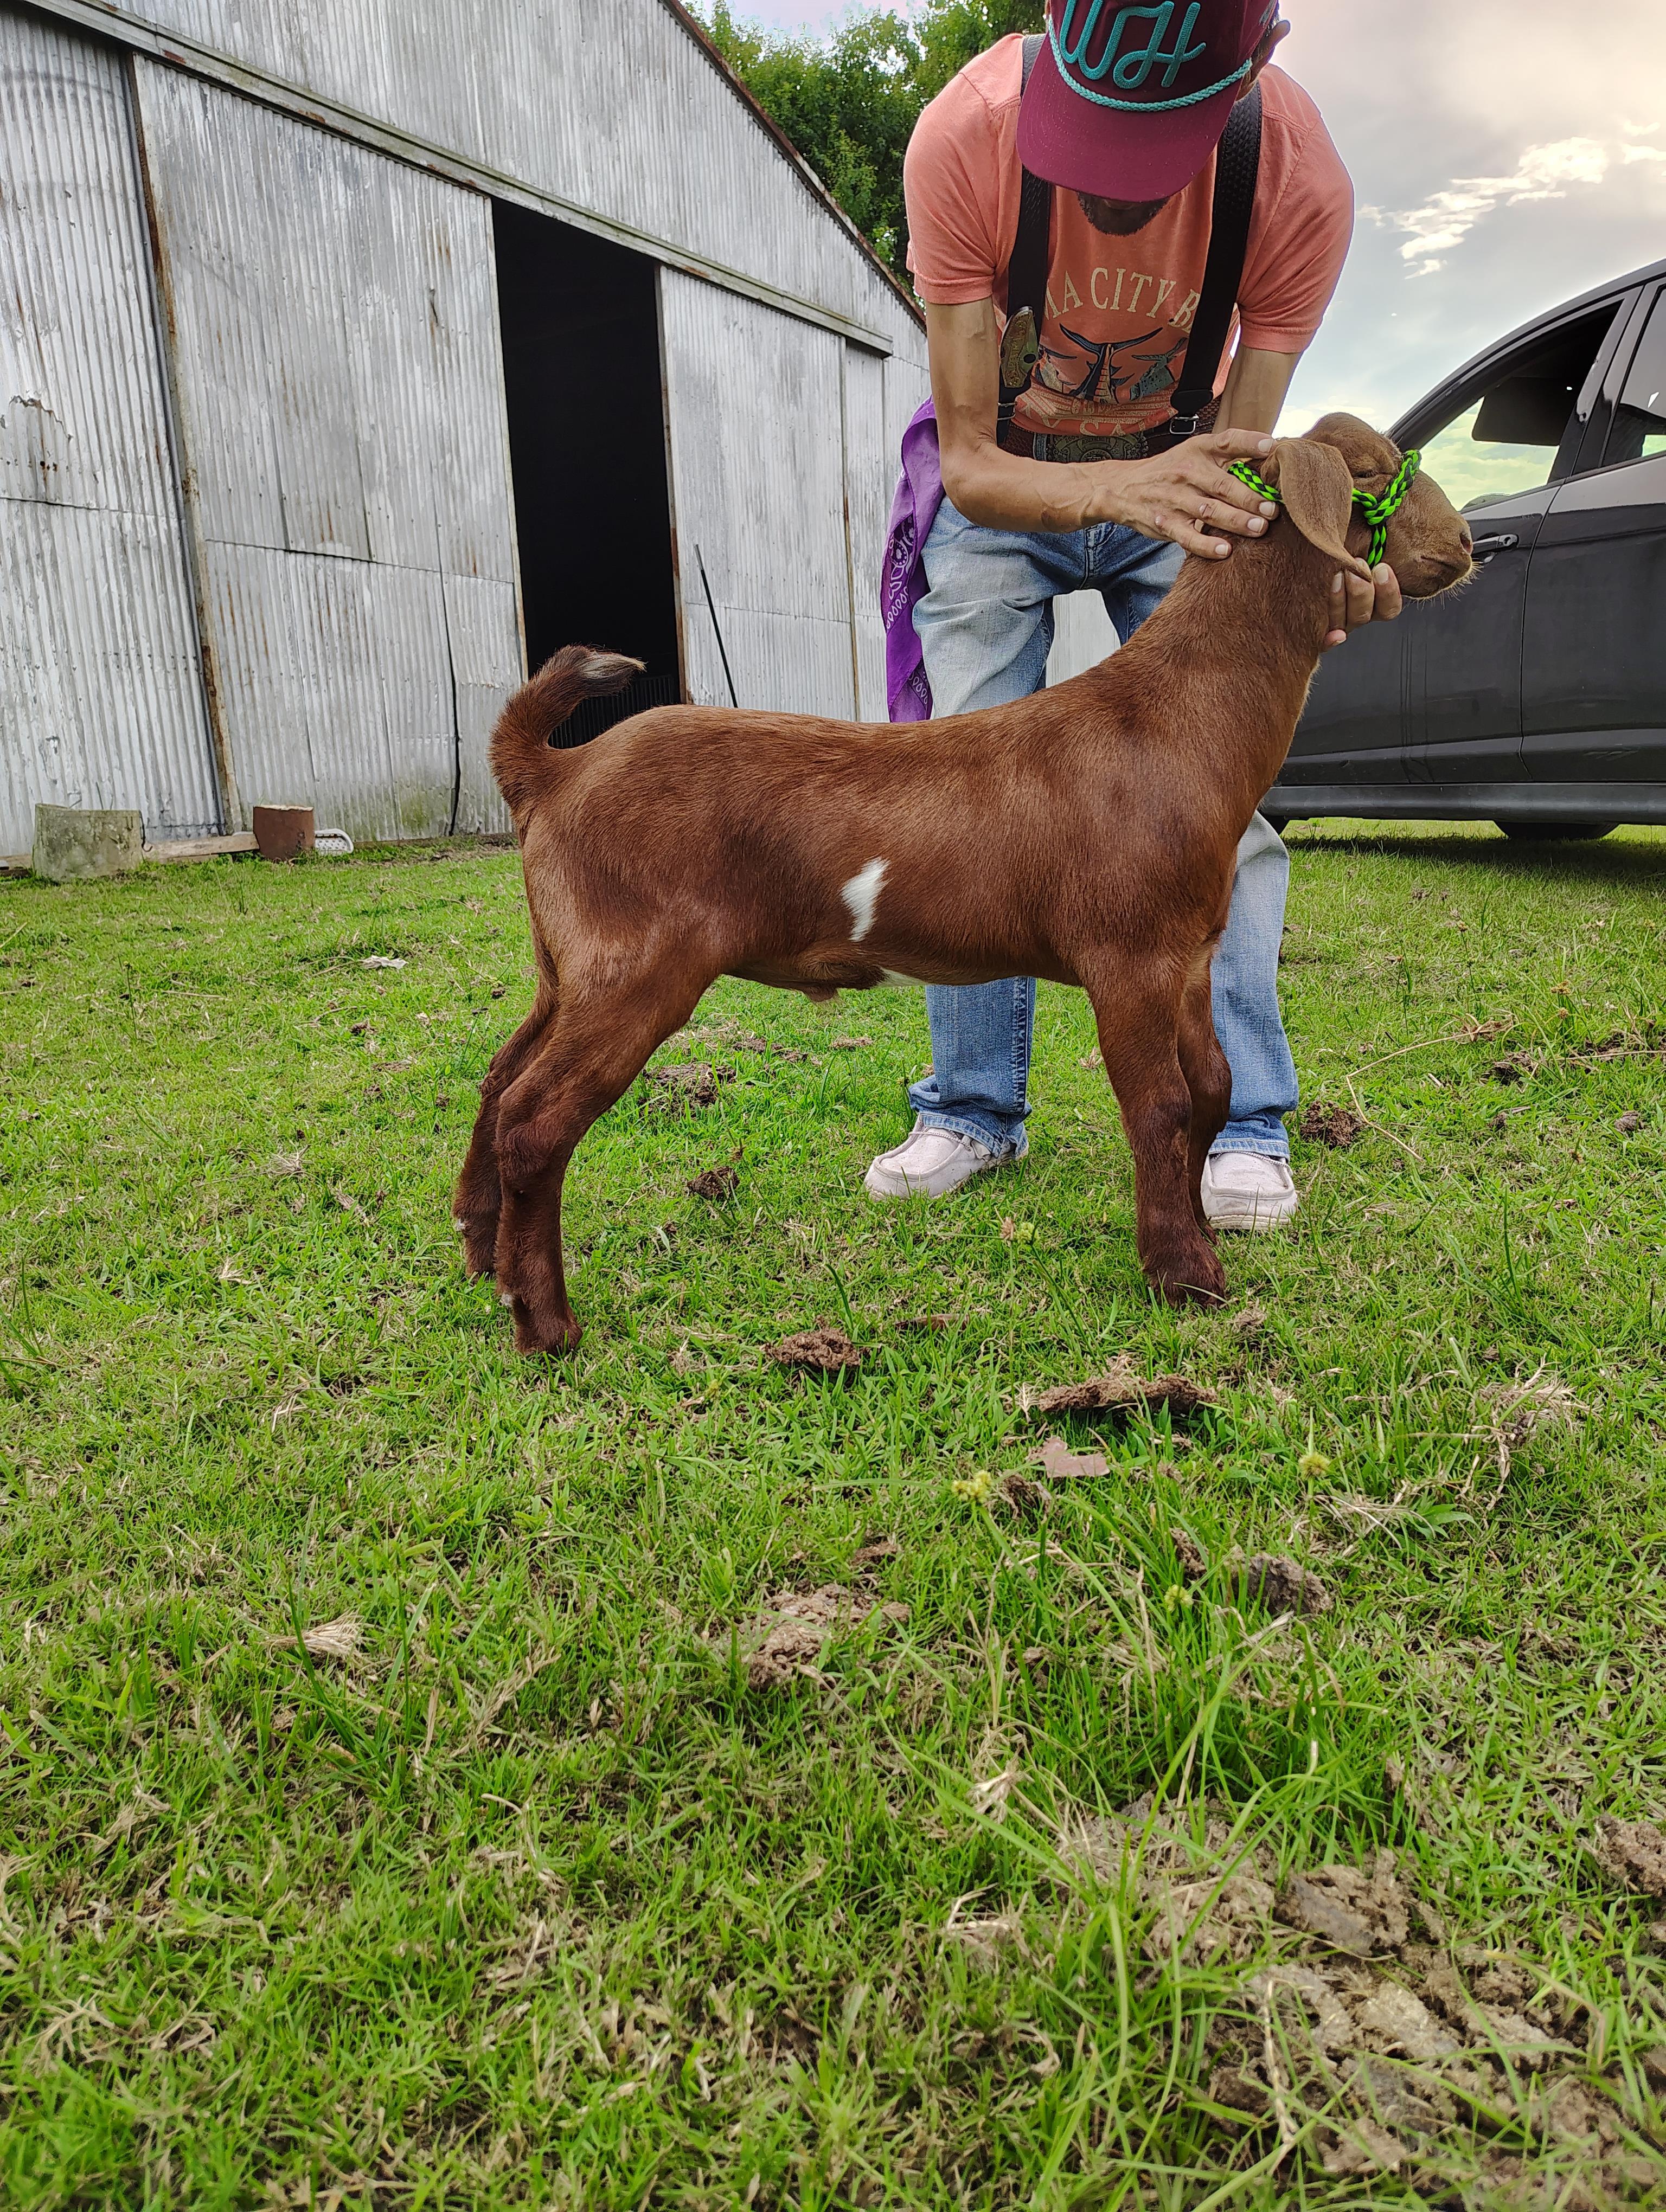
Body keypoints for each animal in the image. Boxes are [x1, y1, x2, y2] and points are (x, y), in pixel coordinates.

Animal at [457, 414, 1472, 1353]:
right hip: (635, 959)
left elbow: (1214, 1088)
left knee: (501, 1077)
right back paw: (545, 1323)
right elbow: (1162, 1105)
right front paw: (1185, 1278)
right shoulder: (1128, 953)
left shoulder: (1189, 953)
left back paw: (482, 1251)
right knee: (535, 1117)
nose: (1465, 545)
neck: (1171, 724)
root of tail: (552, 770)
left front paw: (1190, 1237)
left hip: (567, 958)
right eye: (1377, 472)